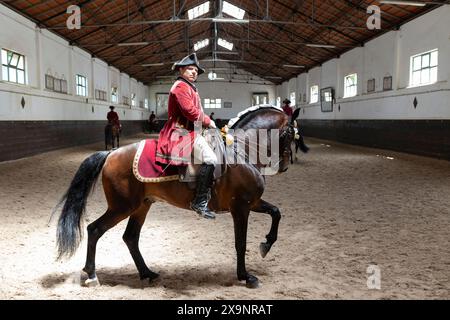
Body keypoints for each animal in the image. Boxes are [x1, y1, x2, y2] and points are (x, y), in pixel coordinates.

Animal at [54, 106, 298, 288]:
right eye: (290, 134)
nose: (285, 166)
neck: (243, 152)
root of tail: (111, 153)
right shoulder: (241, 207)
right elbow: (240, 243)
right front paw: (245, 276)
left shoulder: (252, 203)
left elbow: (276, 213)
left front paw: (266, 244)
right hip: (122, 207)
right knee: (95, 229)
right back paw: (92, 274)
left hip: (141, 206)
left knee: (130, 237)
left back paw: (147, 273)